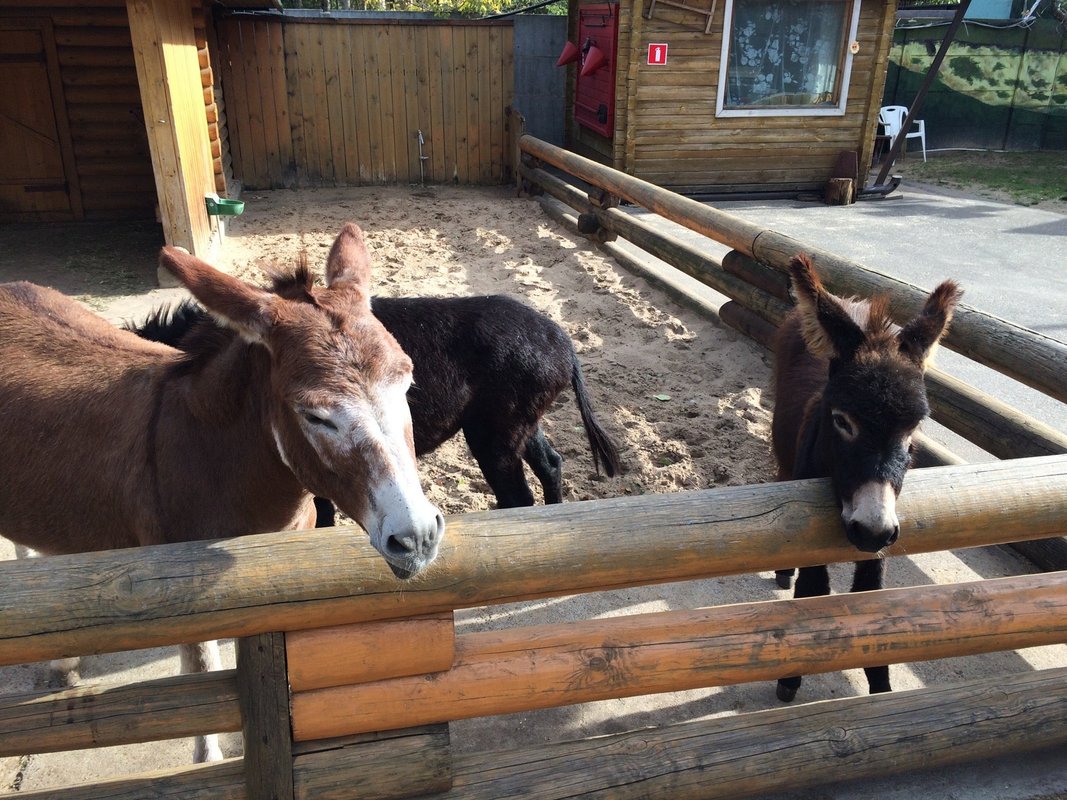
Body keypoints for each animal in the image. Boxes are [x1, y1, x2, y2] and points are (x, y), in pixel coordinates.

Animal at [1, 223, 445, 760]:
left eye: (408, 385)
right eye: (315, 416)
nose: (417, 537)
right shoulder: (181, 594)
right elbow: (202, 688)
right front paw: (209, 758)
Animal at [770, 253, 961, 702]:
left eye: (914, 430)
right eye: (842, 421)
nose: (872, 530)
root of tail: (851, 303)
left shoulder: (884, 536)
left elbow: (872, 599)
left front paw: (882, 688)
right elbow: (813, 592)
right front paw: (790, 679)